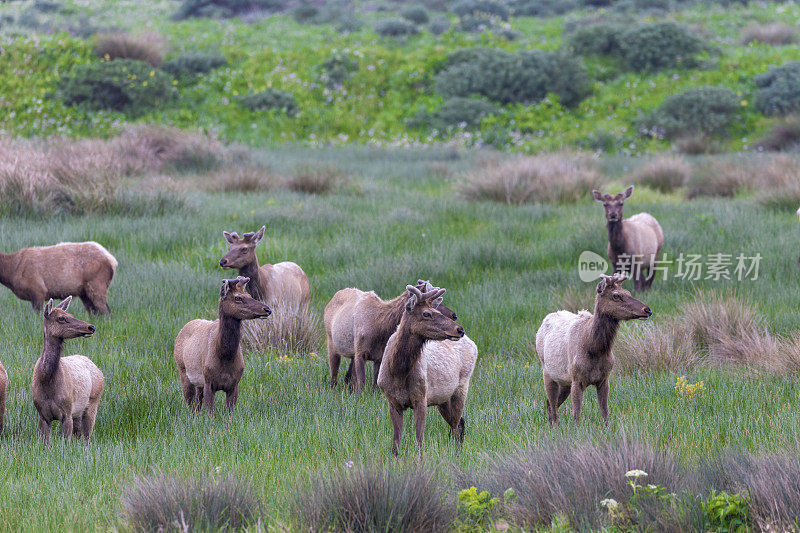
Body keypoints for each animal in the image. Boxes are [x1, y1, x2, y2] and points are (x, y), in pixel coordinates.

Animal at [31, 298, 104, 442]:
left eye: (71, 315)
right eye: (62, 318)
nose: (91, 327)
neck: (46, 381)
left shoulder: (67, 411)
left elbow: (66, 442)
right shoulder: (42, 415)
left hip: (93, 402)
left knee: (87, 437)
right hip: (78, 413)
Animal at [173, 276, 274, 414]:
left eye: (248, 294)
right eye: (238, 298)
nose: (267, 309)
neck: (225, 357)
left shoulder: (235, 383)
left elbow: (230, 413)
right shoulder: (208, 381)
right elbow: (208, 413)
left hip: (198, 383)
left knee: (197, 404)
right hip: (183, 371)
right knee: (190, 405)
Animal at [324, 278, 456, 390]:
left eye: (434, 303)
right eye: (428, 311)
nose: (454, 315)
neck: (380, 330)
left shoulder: (378, 356)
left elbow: (374, 387)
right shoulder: (360, 352)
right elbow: (362, 386)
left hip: (352, 353)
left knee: (350, 376)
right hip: (331, 342)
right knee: (334, 375)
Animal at [376, 284, 466, 456]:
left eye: (438, 312)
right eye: (427, 313)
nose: (459, 330)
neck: (398, 372)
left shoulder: (421, 398)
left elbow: (419, 442)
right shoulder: (392, 401)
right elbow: (396, 445)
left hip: (461, 388)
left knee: (456, 426)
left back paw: (456, 453)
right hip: (442, 399)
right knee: (459, 423)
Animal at [532, 272, 648, 426]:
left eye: (628, 292)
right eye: (616, 295)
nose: (647, 309)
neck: (595, 350)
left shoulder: (604, 379)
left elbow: (605, 414)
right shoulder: (577, 379)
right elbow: (576, 416)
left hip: (564, 381)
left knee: (550, 404)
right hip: (547, 372)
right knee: (552, 405)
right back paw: (554, 427)